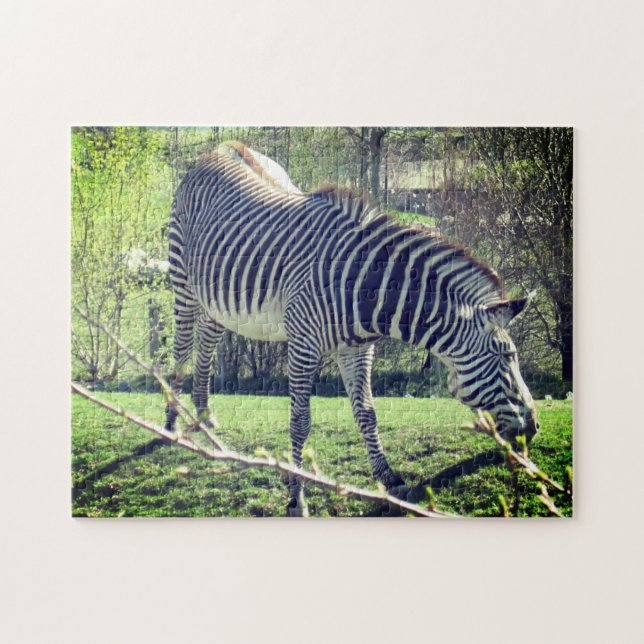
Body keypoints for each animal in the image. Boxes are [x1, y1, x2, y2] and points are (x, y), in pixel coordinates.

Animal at [165, 141, 539, 516]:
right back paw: (172, 424)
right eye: (506, 358)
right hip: (182, 279)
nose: (533, 428)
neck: (363, 288)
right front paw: (296, 497)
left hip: (219, 300)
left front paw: (391, 479)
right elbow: (300, 421)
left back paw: (204, 415)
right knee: (182, 344)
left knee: (208, 338)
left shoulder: (358, 348)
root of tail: (221, 148)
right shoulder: (303, 346)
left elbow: (367, 414)